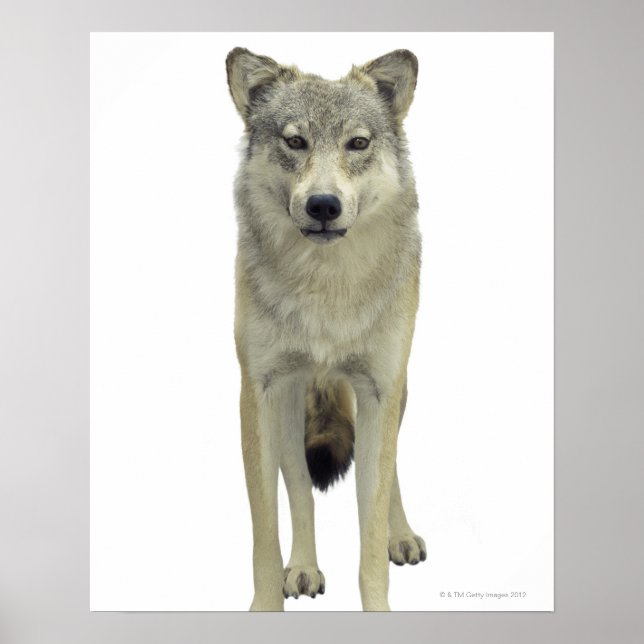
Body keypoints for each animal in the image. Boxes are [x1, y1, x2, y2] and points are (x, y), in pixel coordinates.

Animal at [226, 47, 426, 611]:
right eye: (295, 141)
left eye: (357, 143)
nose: (322, 205)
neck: (326, 287)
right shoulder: (258, 393)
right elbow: (266, 536)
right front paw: (269, 600)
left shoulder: (380, 390)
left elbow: (370, 531)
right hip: (290, 403)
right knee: (298, 486)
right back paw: (304, 568)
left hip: (394, 394)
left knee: (390, 469)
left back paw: (402, 537)